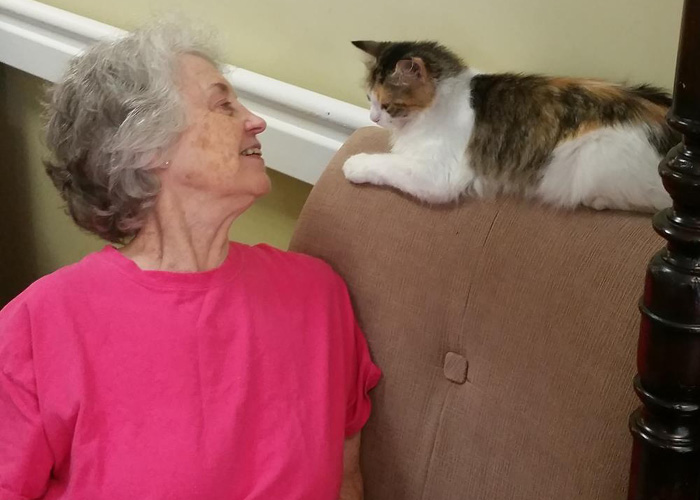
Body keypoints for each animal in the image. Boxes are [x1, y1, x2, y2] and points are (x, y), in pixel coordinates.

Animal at [344, 40, 680, 210]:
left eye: (388, 105)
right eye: (369, 99)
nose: (373, 118)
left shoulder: (439, 175)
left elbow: (385, 164)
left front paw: (353, 165)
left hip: (591, 157)